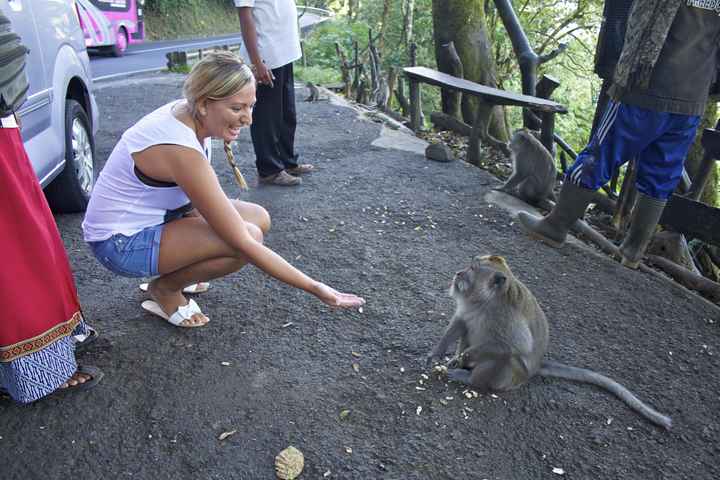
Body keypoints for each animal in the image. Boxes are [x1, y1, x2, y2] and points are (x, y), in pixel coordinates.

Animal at [426, 255, 672, 430]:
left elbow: (514, 346)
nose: (459, 272)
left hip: (513, 376)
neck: (485, 301)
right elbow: (461, 322)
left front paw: (463, 358)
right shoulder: (470, 306)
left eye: (473, 269)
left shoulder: (504, 316)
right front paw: (438, 353)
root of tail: (536, 368)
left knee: (506, 358)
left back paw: (469, 378)